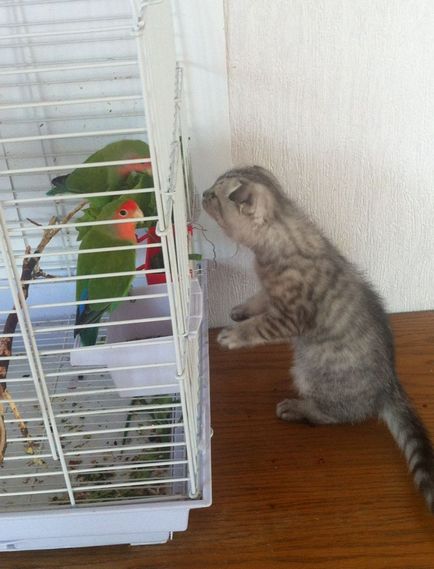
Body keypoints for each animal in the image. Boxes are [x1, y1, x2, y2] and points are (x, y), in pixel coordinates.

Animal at [202, 163, 434, 510]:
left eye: (216, 197)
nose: (202, 193)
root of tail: (388, 386)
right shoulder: (272, 297)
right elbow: (260, 298)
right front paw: (242, 309)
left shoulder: (289, 317)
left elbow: (260, 326)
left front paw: (235, 334)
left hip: (310, 372)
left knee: (337, 415)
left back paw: (298, 409)